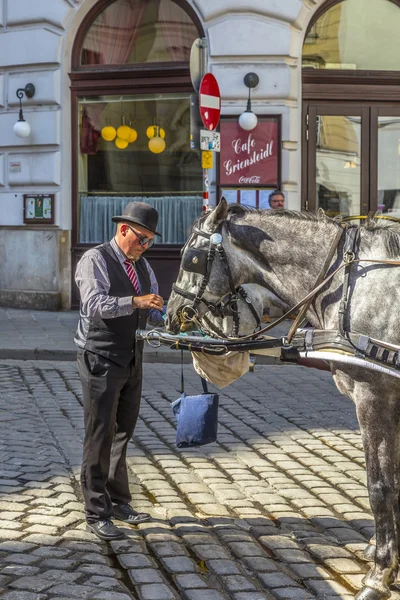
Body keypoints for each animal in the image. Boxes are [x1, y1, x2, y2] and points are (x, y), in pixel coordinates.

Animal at [166, 198, 400, 600]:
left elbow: (381, 486)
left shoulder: (375, 397)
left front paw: (379, 575)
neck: (348, 285)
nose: (169, 314)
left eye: (190, 258)